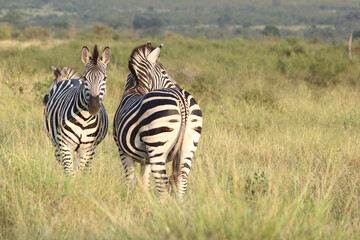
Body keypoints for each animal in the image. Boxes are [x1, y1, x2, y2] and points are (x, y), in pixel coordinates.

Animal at [43, 45, 109, 175]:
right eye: (85, 77)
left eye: (104, 78)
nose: (94, 106)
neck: (84, 119)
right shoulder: (65, 146)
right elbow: (69, 172)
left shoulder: (87, 150)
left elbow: (78, 172)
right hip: (56, 143)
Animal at [113, 41, 202, 201]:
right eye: (164, 72)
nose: (178, 85)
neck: (135, 89)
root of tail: (181, 99)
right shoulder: (145, 159)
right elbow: (144, 182)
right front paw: (142, 200)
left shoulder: (123, 151)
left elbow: (131, 180)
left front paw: (130, 200)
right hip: (189, 144)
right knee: (182, 179)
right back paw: (178, 206)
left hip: (157, 145)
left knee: (162, 182)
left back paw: (162, 207)